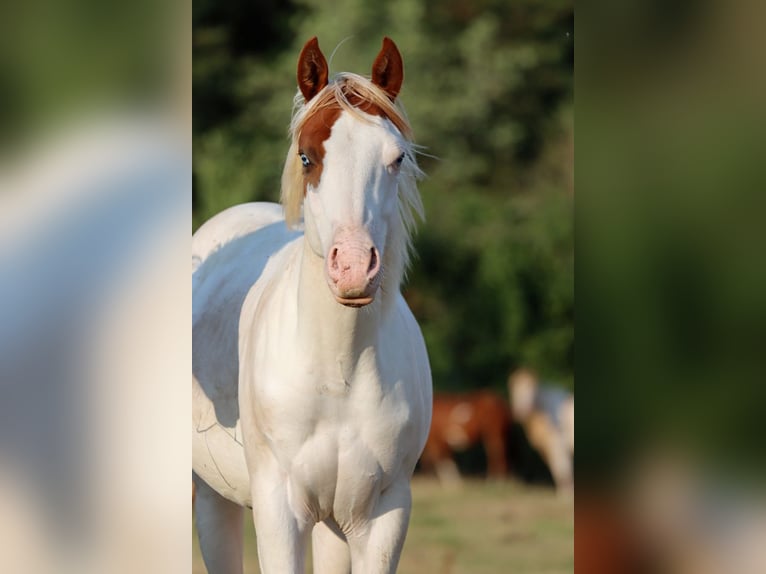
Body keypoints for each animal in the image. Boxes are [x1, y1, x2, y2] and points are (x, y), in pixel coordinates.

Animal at [192, 37, 432, 574]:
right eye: (306, 156)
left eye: (397, 158)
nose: (354, 267)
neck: (338, 373)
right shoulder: (280, 513)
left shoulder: (383, 517)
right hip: (212, 498)